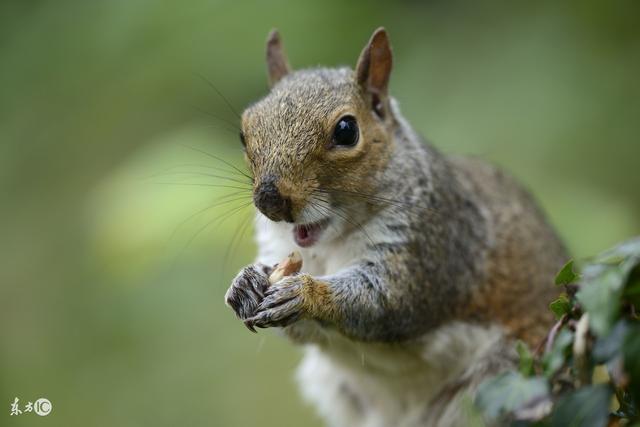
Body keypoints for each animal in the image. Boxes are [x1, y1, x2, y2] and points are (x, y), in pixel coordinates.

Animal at [224, 27, 564, 427]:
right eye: (244, 132)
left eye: (346, 130)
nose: (269, 200)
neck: (329, 245)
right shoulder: (280, 247)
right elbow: (299, 331)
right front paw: (245, 283)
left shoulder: (436, 242)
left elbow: (390, 300)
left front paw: (307, 294)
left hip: (498, 379)